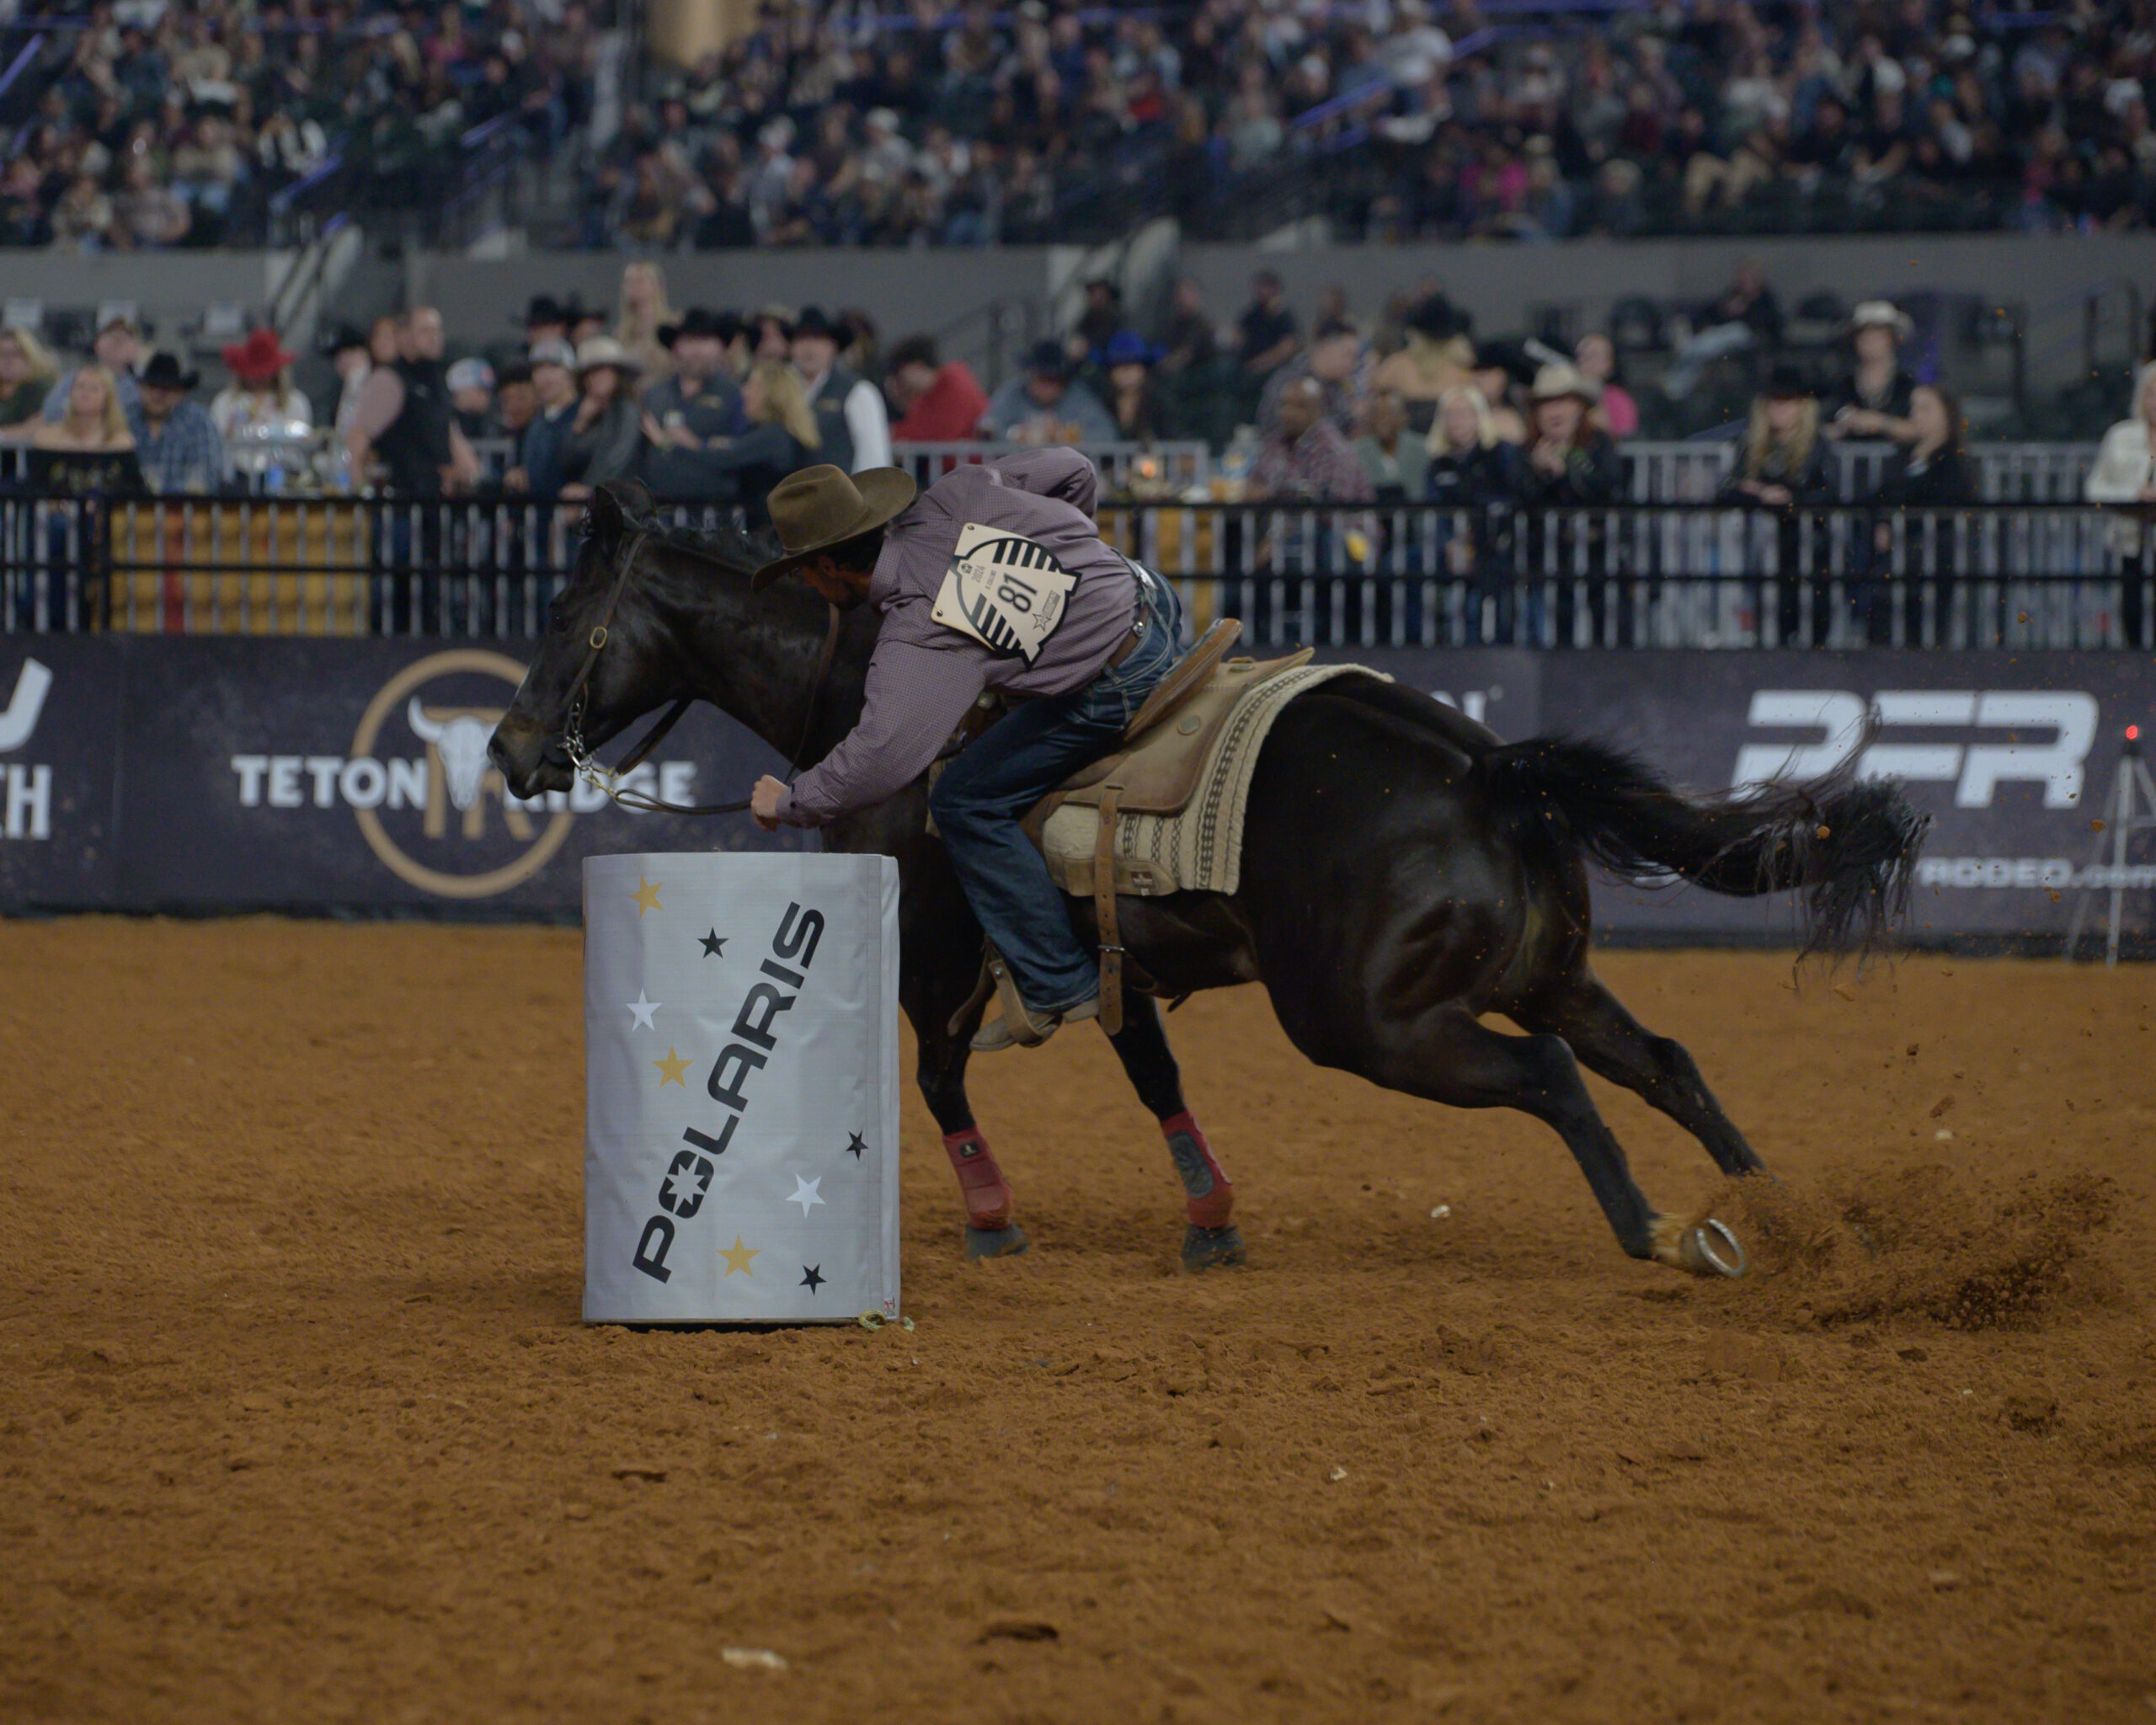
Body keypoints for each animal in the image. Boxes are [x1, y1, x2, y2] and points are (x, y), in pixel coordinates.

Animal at [489, 485, 1923, 1276]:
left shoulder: (939, 953)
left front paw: (995, 1219)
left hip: (1369, 1021)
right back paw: (1793, 1218)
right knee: (1662, 1060)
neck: (854, 683)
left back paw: (1663, 1231)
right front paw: (1211, 1219)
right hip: (1546, 971)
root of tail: (1485, 767)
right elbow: (1152, 1075)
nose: (506, 751)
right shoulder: (1112, 962)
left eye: (562, 620)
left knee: (1558, 1081)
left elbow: (940, 1076)